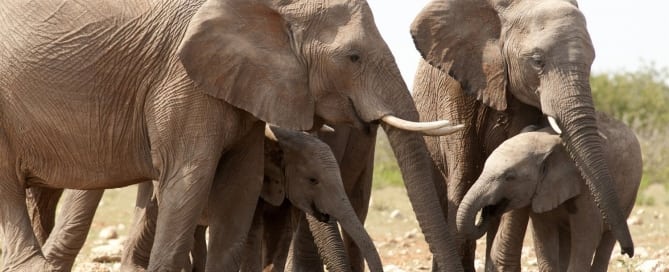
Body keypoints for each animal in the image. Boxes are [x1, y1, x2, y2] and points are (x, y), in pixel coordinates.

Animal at [456, 111, 640, 270]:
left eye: (509, 177)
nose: (628, 252)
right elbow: (544, 236)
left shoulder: (587, 186)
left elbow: (587, 236)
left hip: (630, 193)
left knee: (606, 241)